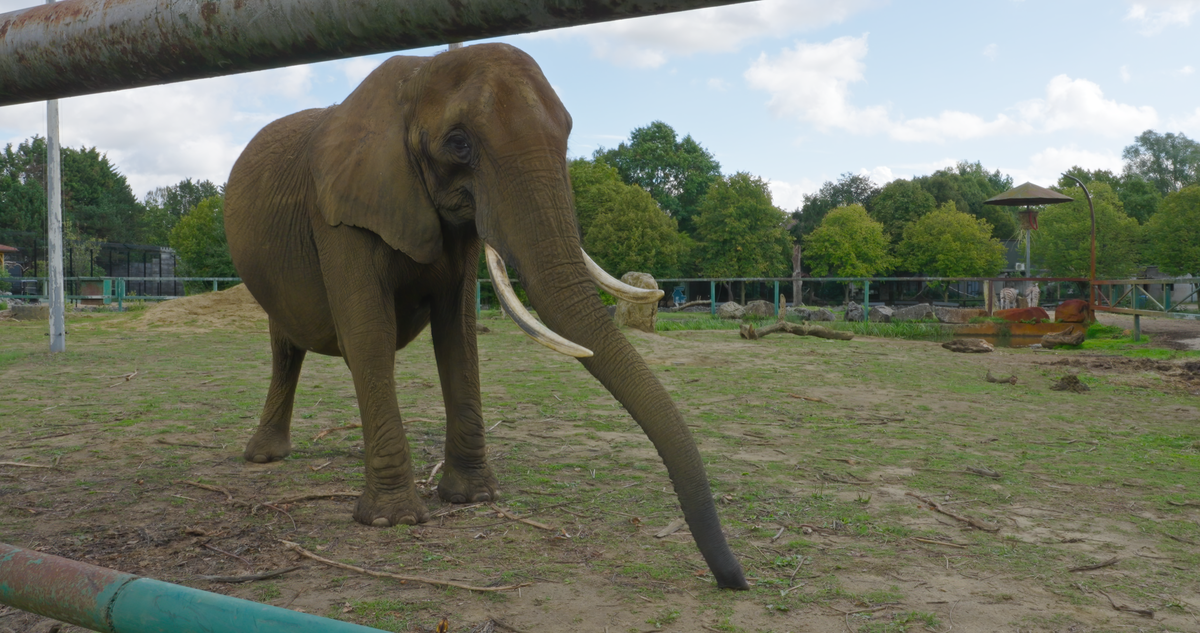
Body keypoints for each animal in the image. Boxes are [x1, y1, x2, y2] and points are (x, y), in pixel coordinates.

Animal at [224, 43, 747, 590]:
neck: (419, 73)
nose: (734, 579)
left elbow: (457, 333)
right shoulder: (341, 215)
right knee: (286, 347)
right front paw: (394, 520)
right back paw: (264, 457)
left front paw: (473, 498)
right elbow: (369, 335)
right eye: (458, 144)